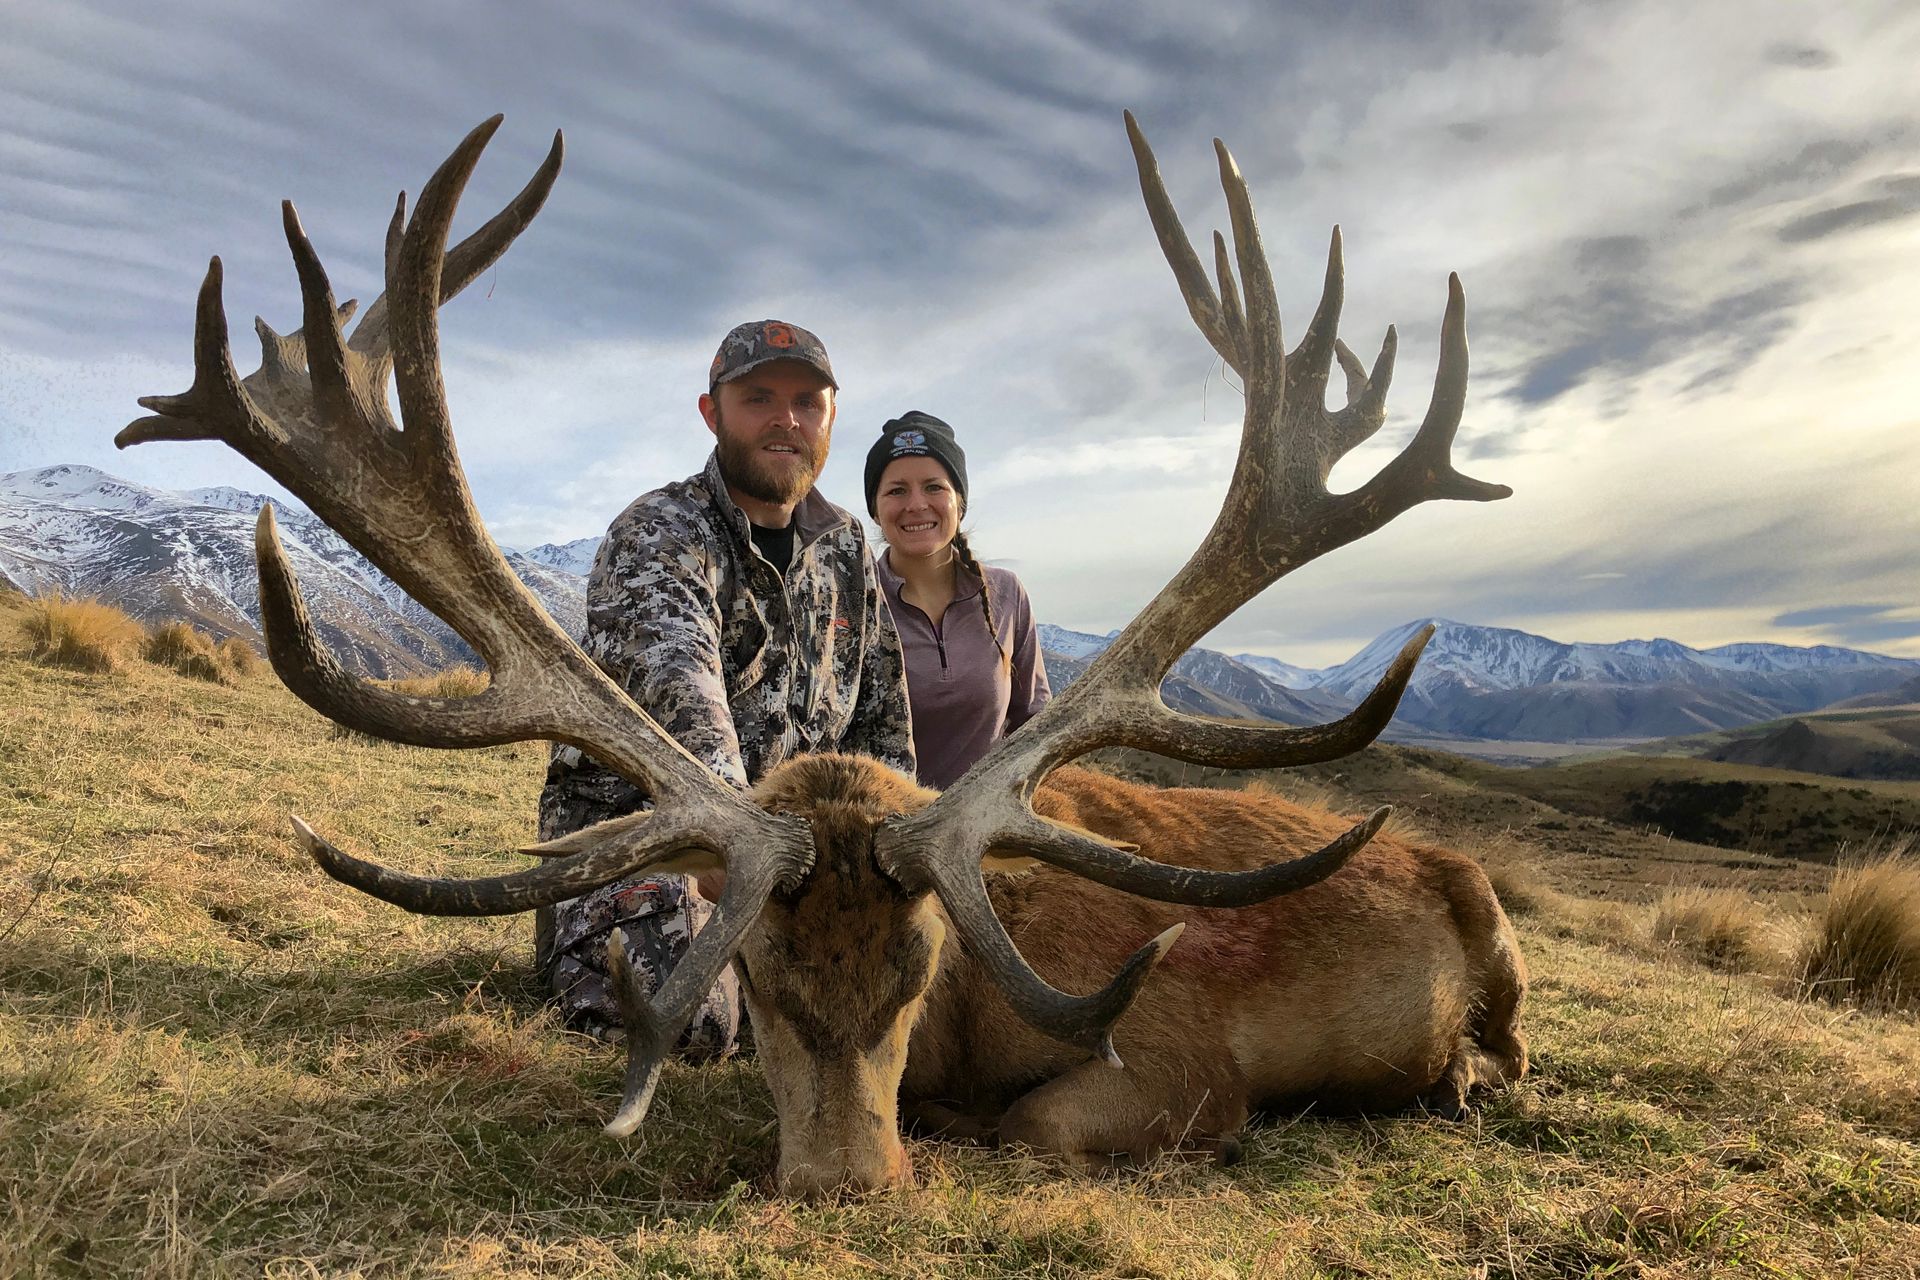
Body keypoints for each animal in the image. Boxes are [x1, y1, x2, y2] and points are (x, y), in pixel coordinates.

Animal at [119, 112, 1528, 1197]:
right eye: (760, 982)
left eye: (920, 972)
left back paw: (1464, 1071)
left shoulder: (1187, 1058)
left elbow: (1033, 1121)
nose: (849, 1183)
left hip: (1500, 936)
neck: (970, 1022)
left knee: (1506, 1044)